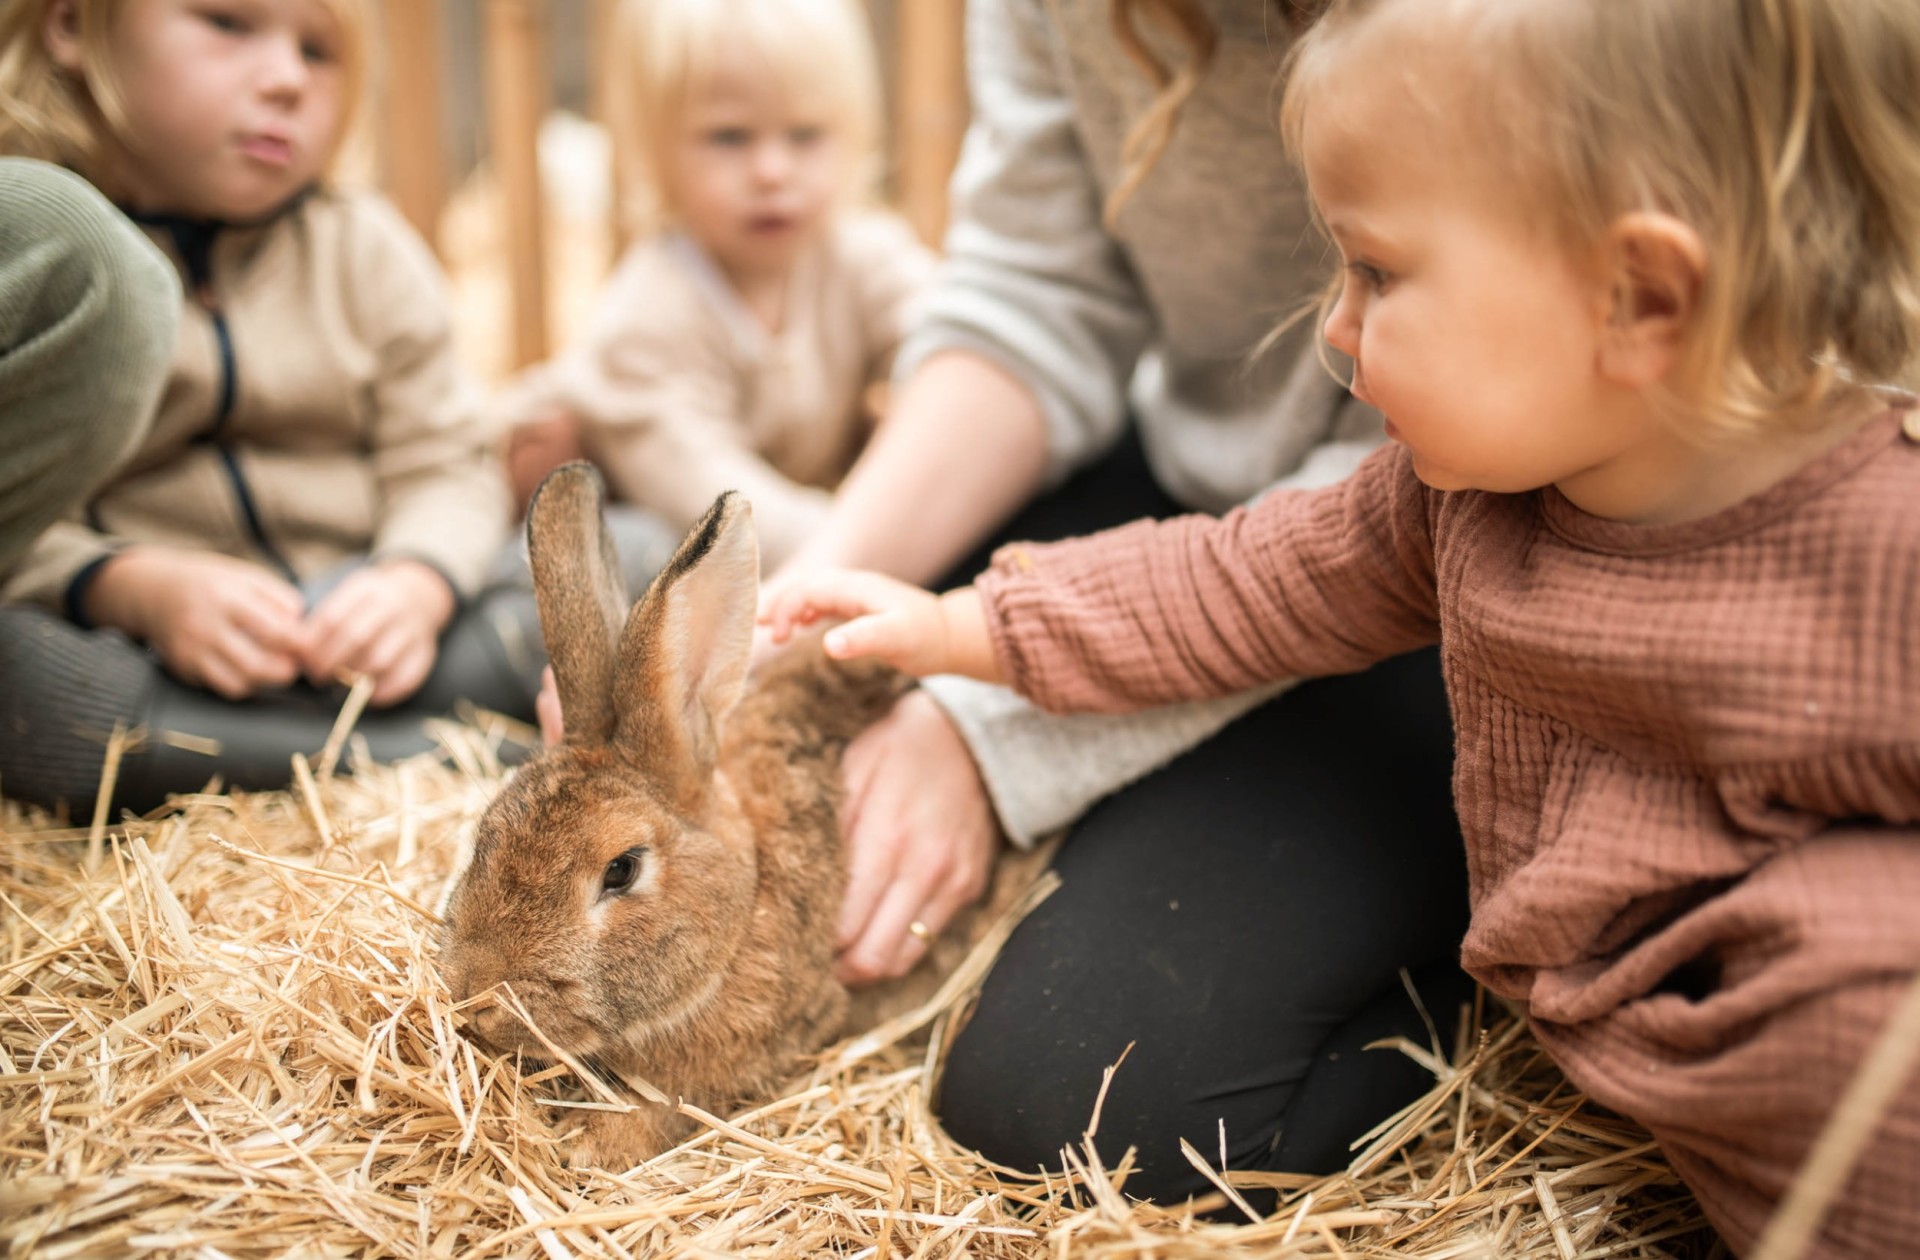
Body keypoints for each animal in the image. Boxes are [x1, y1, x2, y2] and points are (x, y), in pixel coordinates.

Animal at [438, 462, 951, 1166]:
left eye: (622, 869)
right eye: (488, 831)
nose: (475, 997)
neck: (745, 899)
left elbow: (658, 1113)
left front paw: (583, 1146)